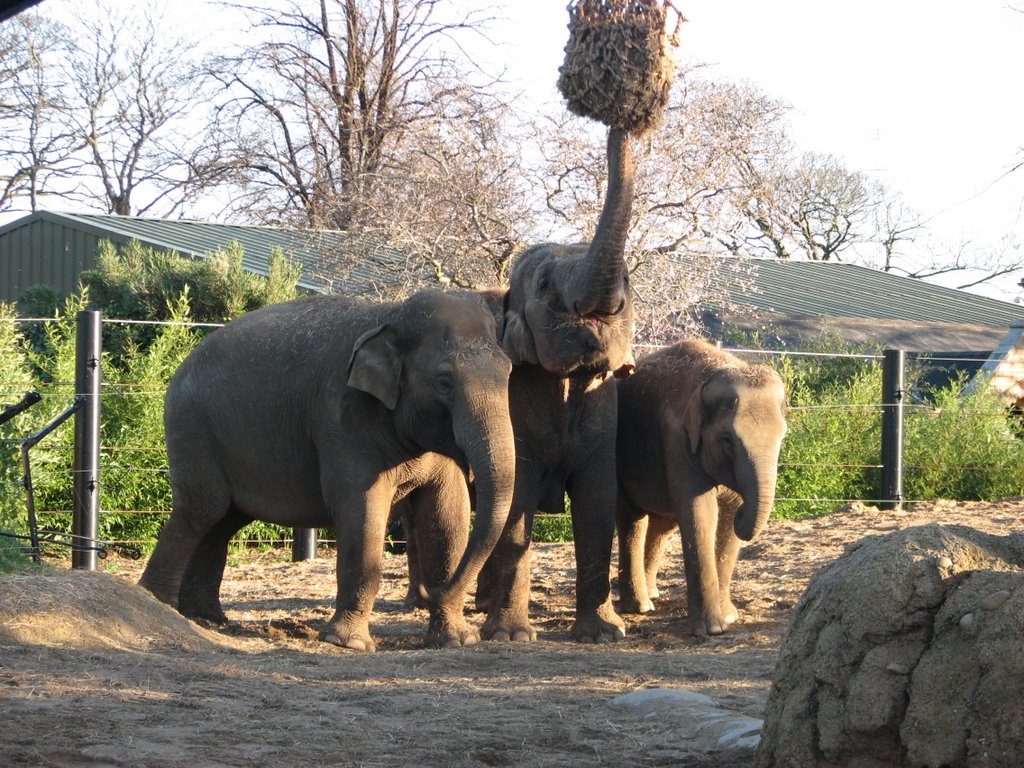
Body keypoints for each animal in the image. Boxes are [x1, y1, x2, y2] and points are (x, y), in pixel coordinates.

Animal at [610, 342, 786, 638]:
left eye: (783, 436)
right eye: (727, 439)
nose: (744, 511)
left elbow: (726, 515)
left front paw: (729, 617)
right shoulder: (677, 439)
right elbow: (699, 513)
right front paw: (711, 630)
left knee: (662, 523)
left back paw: (652, 593)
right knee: (632, 519)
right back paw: (640, 606)